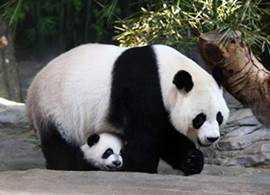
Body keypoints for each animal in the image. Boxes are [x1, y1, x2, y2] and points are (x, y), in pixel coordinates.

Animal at [26, 44, 229, 175]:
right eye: (200, 118)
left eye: (219, 117)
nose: (212, 138)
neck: (164, 74)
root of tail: (33, 86)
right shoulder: (142, 92)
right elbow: (147, 138)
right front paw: (138, 167)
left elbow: (168, 136)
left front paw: (192, 160)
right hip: (55, 109)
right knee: (58, 144)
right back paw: (66, 166)